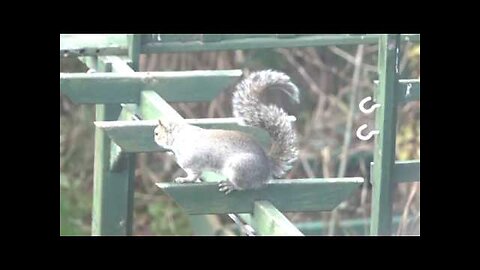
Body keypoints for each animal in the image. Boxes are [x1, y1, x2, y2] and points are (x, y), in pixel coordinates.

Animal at [154, 68, 298, 193]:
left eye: (157, 133)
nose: (154, 138)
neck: (179, 136)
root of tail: (267, 166)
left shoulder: (191, 161)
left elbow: (194, 175)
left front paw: (184, 179)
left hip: (239, 168)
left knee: (243, 186)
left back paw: (231, 185)